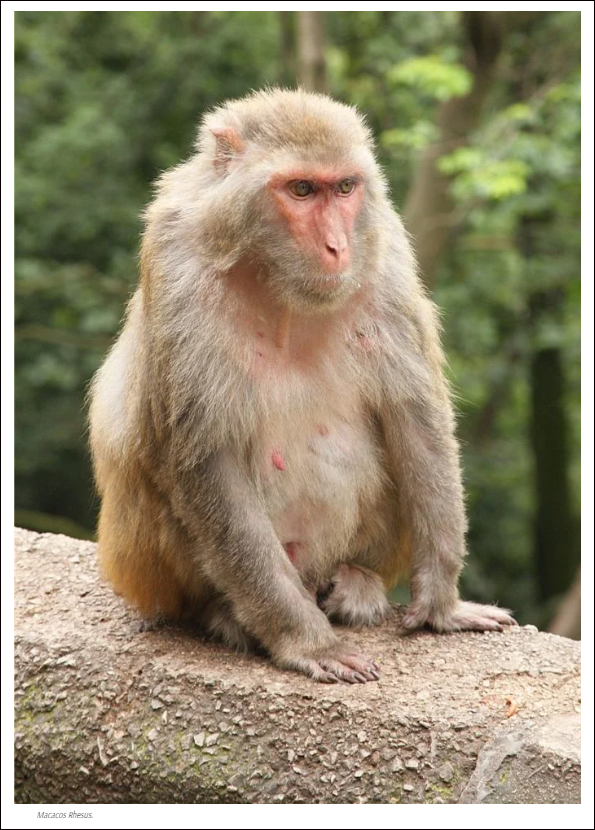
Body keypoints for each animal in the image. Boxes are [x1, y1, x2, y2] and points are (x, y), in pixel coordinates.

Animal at [88, 88, 516, 684]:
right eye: (301, 189)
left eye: (344, 188)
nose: (337, 246)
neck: (275, 279)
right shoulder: (175, 260)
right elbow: (206, 461)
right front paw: (308, 642)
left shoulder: (384, 249)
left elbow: (415, 416)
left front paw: (441, 607)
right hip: (149, 565)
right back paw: (226, 613)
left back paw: (356, 580)